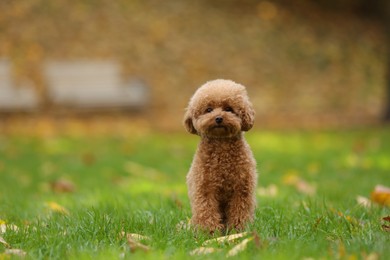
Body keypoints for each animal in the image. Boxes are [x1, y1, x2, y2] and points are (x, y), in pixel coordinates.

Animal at [184, 78, 258, 233]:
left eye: (228, 109)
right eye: (208, 109)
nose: (218, 118)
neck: (221, 145)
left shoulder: (241, 189)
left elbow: (239, 211)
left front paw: (237, 230)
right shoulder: (205, 188)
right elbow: (207, 210)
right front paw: (210, 232)